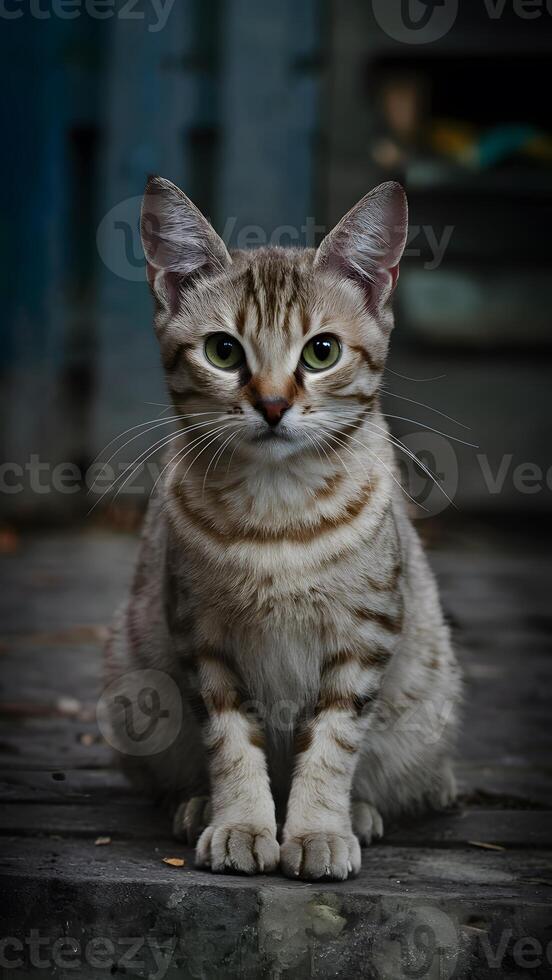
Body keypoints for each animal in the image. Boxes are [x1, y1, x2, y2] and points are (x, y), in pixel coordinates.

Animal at [104, 176, 462, 880]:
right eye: (223, 350)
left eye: (322, 351)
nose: (272, 404)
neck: (278, 515)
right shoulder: (202, 636)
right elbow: (230, 740)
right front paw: (241, 822)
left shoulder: (365, 636)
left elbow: (331, 743)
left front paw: (319, 827)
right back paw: (195, 805)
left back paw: (360, 813)